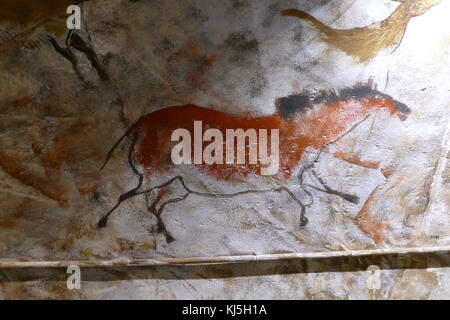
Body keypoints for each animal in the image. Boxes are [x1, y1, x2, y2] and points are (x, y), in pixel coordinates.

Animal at [98, 84, 412, 241]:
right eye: (384, 100)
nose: (407, 109)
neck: (302, 132)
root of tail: (142, 122)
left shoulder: (302, 171)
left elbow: (323, 185)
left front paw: (348, 196)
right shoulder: (287, 176)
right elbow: (308, 197)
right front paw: (303, 219)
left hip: (177, 185)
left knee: (155, 205)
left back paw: (167, 233)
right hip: (158, 176)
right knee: (130, 196)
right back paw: (104, 222)